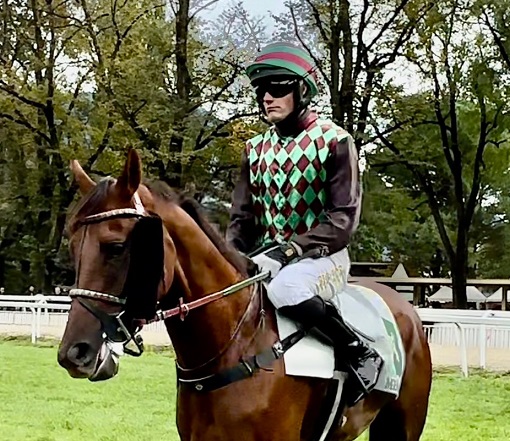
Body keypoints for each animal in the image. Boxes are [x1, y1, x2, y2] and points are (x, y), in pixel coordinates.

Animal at [56, 149, 430, 440]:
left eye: (116, 247)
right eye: (73, 247)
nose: (74, 353)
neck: (236, 348)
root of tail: (404, 306)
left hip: (405, 424)